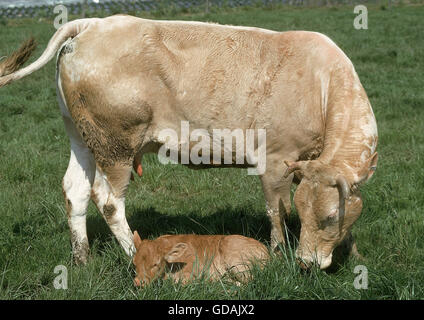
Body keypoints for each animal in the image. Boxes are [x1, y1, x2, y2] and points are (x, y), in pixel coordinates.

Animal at [0, 15, 378, 270]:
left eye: (330, 217)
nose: (306, 263)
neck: (323, 86)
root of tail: (92, 24)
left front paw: (355, 252)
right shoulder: (275, 159)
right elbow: (277, 211)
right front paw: (277, 254)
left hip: (82, 137)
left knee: (74, 191)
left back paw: (82, 259)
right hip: (115, 144)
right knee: (107, 201)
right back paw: (135, 255)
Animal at [132, 231, 268, 286]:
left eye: (155, 264)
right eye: (134, 263)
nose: (138, 282)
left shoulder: (190, 274)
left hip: (237, 262)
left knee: (251, 281)